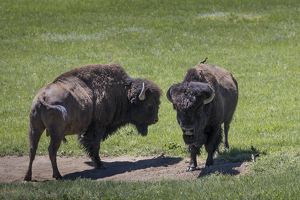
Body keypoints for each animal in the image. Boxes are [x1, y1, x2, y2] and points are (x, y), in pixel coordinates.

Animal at [24, 61, 162, 180]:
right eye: (149, 103)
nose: (156, 119)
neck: (122, 93)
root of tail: (42, 96)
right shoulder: (98, 127)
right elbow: (95, 145)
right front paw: (100, 165)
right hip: (56, 133)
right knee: (51, 150)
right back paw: (58, 175)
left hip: (35, 128)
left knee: (32, 149)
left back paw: (28, 177)